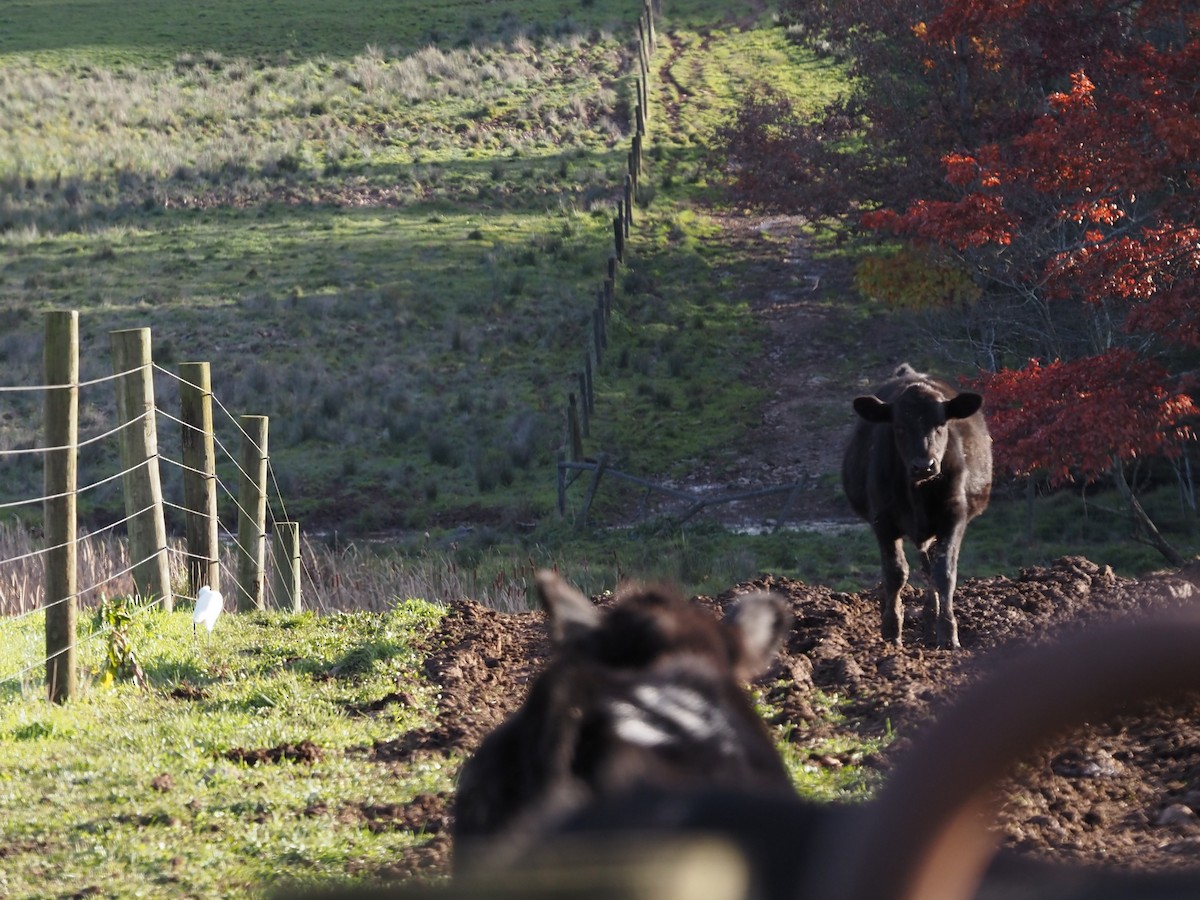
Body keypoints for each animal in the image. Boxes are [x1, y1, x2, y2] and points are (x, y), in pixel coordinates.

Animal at [840, 362, 988, 652]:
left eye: (941, 424)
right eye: (898, 426)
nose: (924, 465)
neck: (917, 490)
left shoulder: (953, 516)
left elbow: (945, 572)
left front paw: (948, 633)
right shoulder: (882, 520)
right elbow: (895, 573)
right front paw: (891, 630)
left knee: (930, 568)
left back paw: (931, 620)